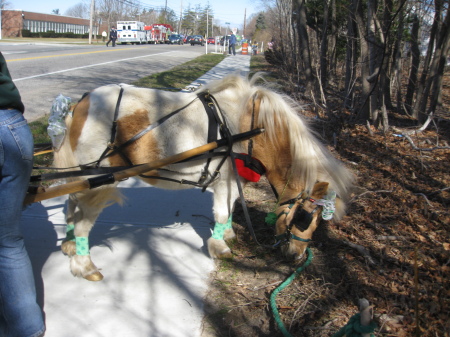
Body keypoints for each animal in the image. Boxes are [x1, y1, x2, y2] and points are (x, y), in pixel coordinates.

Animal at [53, 74, 356, 280]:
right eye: (304, 217)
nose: (297, 255)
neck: (255, 129)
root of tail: (80, 103)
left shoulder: (233, 182)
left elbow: (230, 208)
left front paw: (229, 234)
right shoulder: (227, 180)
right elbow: (222, 212)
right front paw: (220, 246)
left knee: (71, 207)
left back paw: (69, 245)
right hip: (98, 181)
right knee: (83, 222)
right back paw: (84, 264)